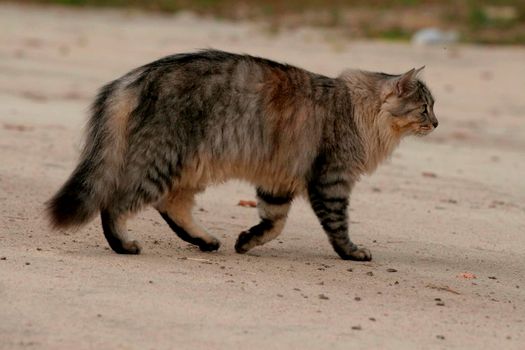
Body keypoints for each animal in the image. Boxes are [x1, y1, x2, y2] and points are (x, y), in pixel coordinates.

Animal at [46, 50, 438, 262]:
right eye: (424, 108)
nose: (436, 123)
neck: (356, 109)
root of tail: (139, 74)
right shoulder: (331, 180)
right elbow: (337, 225)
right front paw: (352, 253)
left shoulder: (278, 179)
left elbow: (274, 222)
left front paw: (246, 241)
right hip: (162, 158)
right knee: (116, 203)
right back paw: (124, 245)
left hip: (190, 166)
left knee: (171, 205)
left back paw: (205, 241)